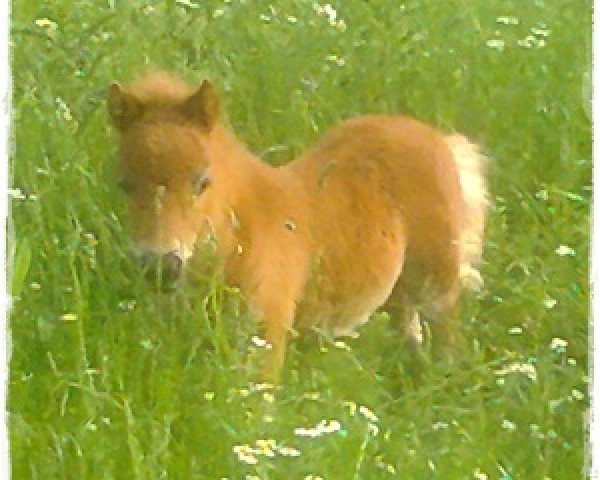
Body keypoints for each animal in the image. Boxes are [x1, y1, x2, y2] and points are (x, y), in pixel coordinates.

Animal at [109, 71, 488, 380]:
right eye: (125, 184)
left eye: (202, 182)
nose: (160, 266)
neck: (244, 231)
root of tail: (435, 137)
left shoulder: (267, 332)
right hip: (397, 294)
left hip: (436, 284)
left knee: (446, 345)